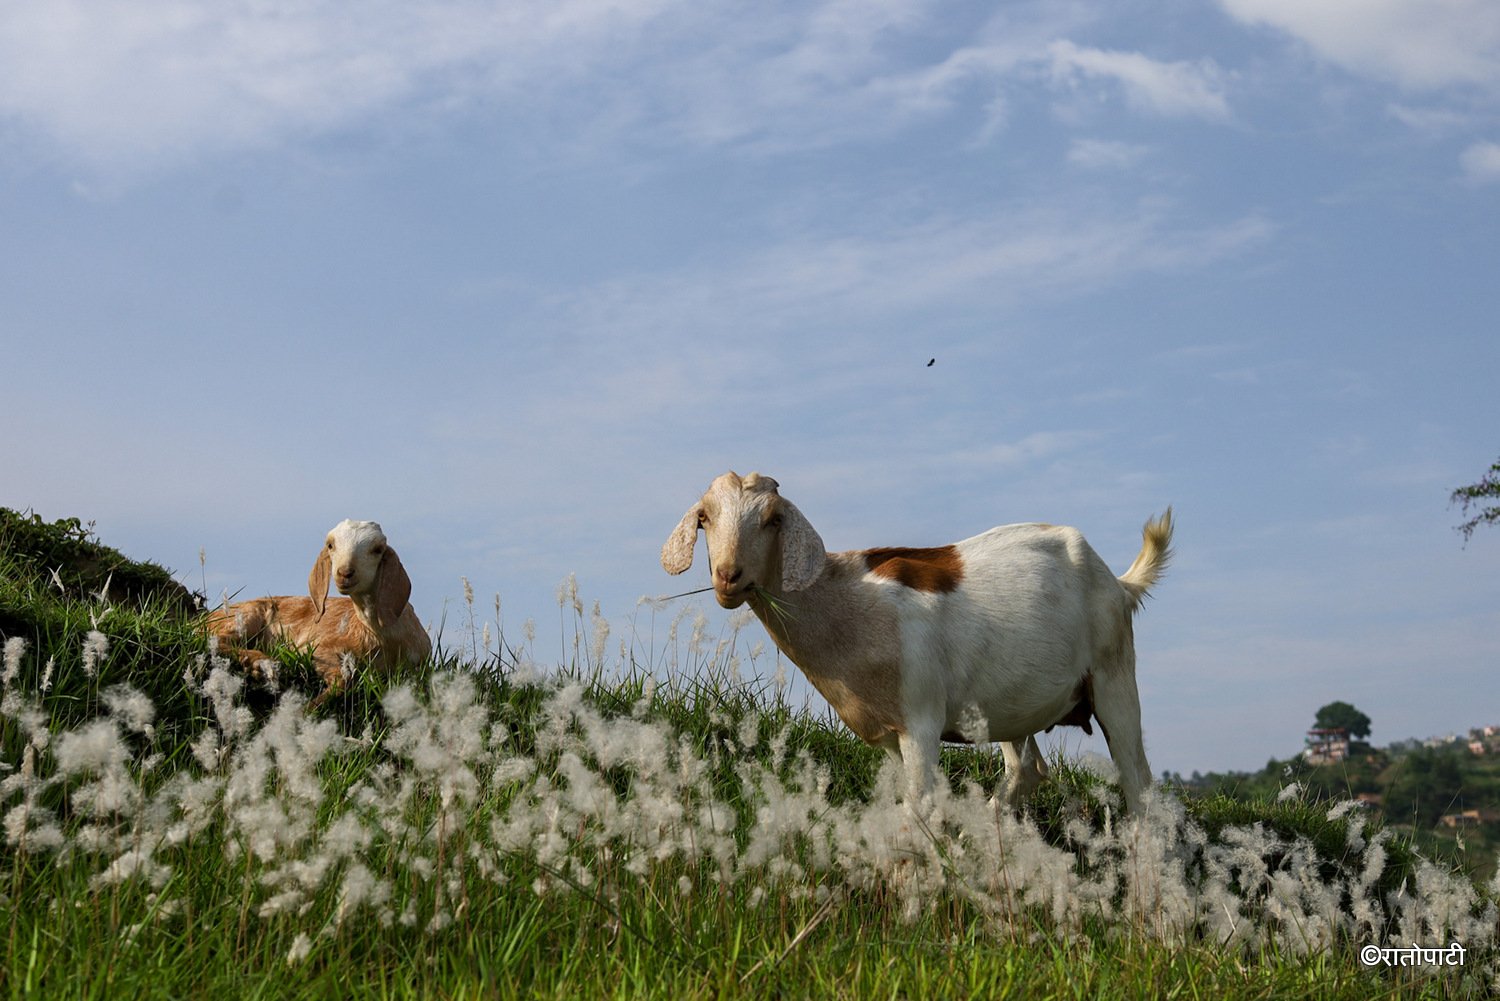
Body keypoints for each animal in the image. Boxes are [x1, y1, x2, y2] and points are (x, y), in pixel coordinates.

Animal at [206, 519, 431, 686]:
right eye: (331, 545)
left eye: (378, 549)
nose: (345, 573)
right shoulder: (317, 648)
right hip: (244, 617)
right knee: (215, 639)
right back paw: (259, 662)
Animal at [662, 471, 1172, 813]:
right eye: (705, 517)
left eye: (772, 520)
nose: (728, 576)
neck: (843, 597)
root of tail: (1118, 583)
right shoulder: (887, 733)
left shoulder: (920, 721)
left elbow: (919, 806)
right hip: (1013, 704)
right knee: (1027, 769)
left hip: (1113, 676)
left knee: (1139, 787)